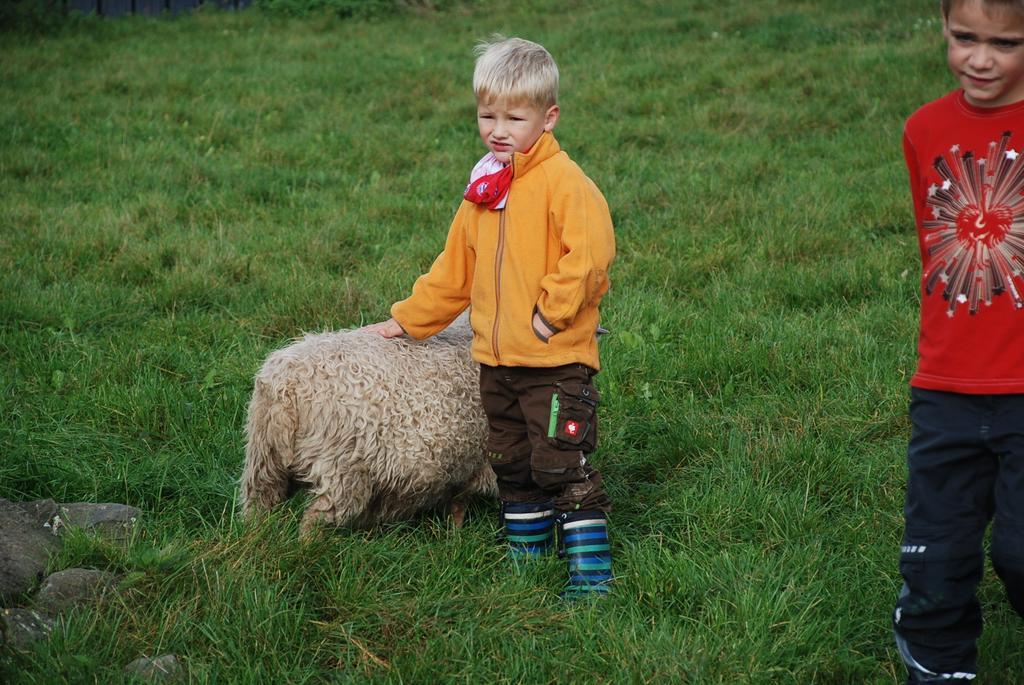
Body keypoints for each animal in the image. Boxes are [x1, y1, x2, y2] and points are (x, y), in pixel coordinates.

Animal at [239, 317, 495, 532]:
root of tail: (287, 386)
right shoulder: (477, 462)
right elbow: (461, 504)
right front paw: (457, 535)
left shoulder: (466, 464)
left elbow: (458, 503)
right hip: (342, 471)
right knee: (314, 519)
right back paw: (307, 549)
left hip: (264, 458)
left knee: (258, 504)